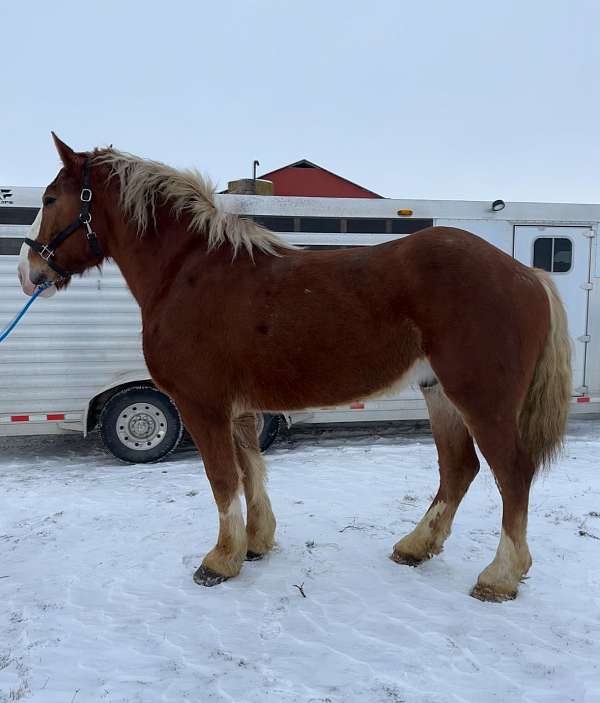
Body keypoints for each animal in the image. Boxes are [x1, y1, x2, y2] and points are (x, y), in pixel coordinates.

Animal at [19, 135, 572, 604]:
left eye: (50, 198)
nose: (28, 273)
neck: (188, 273)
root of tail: (526, 273)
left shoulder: (202, 405)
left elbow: (223, 478)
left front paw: (219, 561)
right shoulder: (238, 409)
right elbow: (250, 472)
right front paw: (255, 544)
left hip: (480, 397)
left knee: (511, 472)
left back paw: (500, 576)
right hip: (439, 392)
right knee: (459, 469)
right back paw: (415, 547)